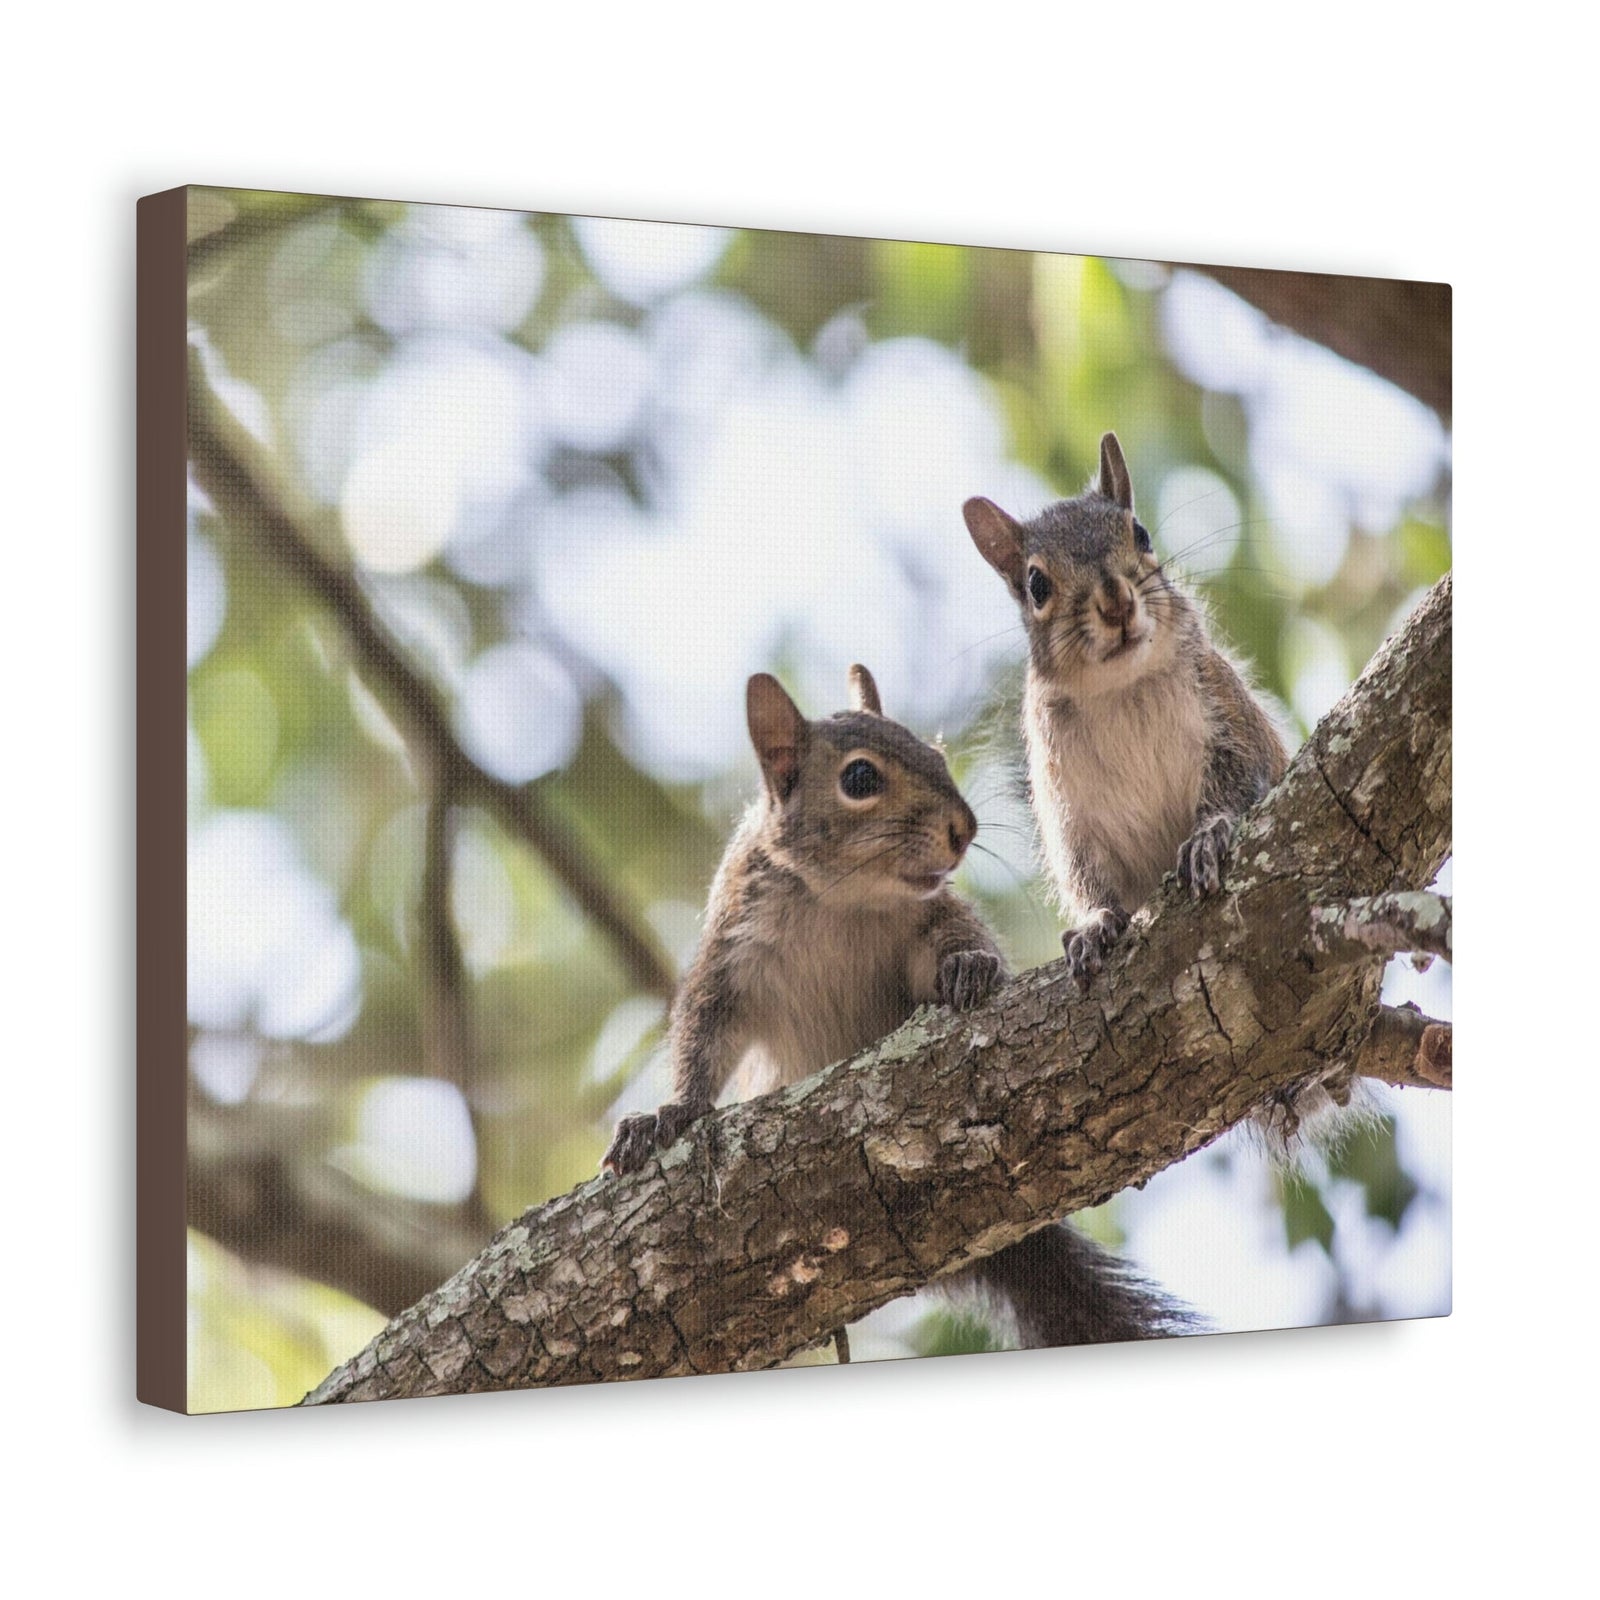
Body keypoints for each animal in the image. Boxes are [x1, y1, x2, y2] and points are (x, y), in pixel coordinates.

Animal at [602, 664, 1191, 1350]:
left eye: (936, 756)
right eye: (860, 779)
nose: (965, 829)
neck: (840, 901)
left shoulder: (928, 918)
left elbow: (954, 943)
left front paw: (969, 966)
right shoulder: (731, 953)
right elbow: (702, 1033)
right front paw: (670, 1114)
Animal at [963, 431, 1288, 986]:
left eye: (1141, 534)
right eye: (1036, 585)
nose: (1116, 601)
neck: (1120, 689)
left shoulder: (1229, 714)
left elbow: (1240, 776)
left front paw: (1207, 835)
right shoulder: (1067, 809)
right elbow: (1086, 875)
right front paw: (1095, 924)